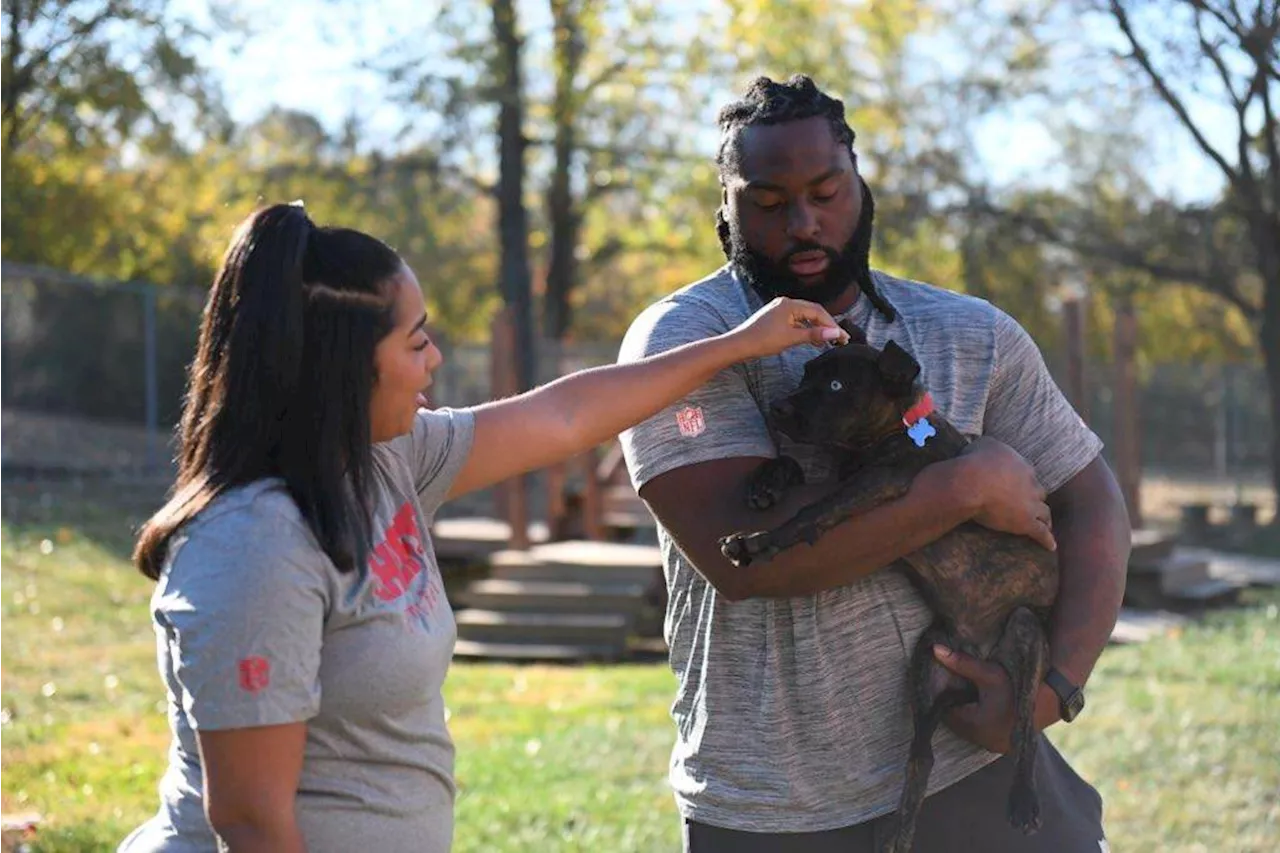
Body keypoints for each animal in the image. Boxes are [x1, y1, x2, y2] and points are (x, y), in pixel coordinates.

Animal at [721, 325, 1059, 850]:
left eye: (837, 386)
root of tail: (978, 656)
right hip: (926, 664)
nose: (778, 408)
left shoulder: (881, 482)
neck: (894, 429)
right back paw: (899, 834)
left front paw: (760, 542)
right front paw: (765, 482)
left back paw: (1023, 802)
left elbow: (813, 511)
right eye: (805, 373)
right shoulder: (844, 472)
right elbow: (797, 471)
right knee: (922, 755)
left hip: (1024, 633)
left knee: (1022, 728)